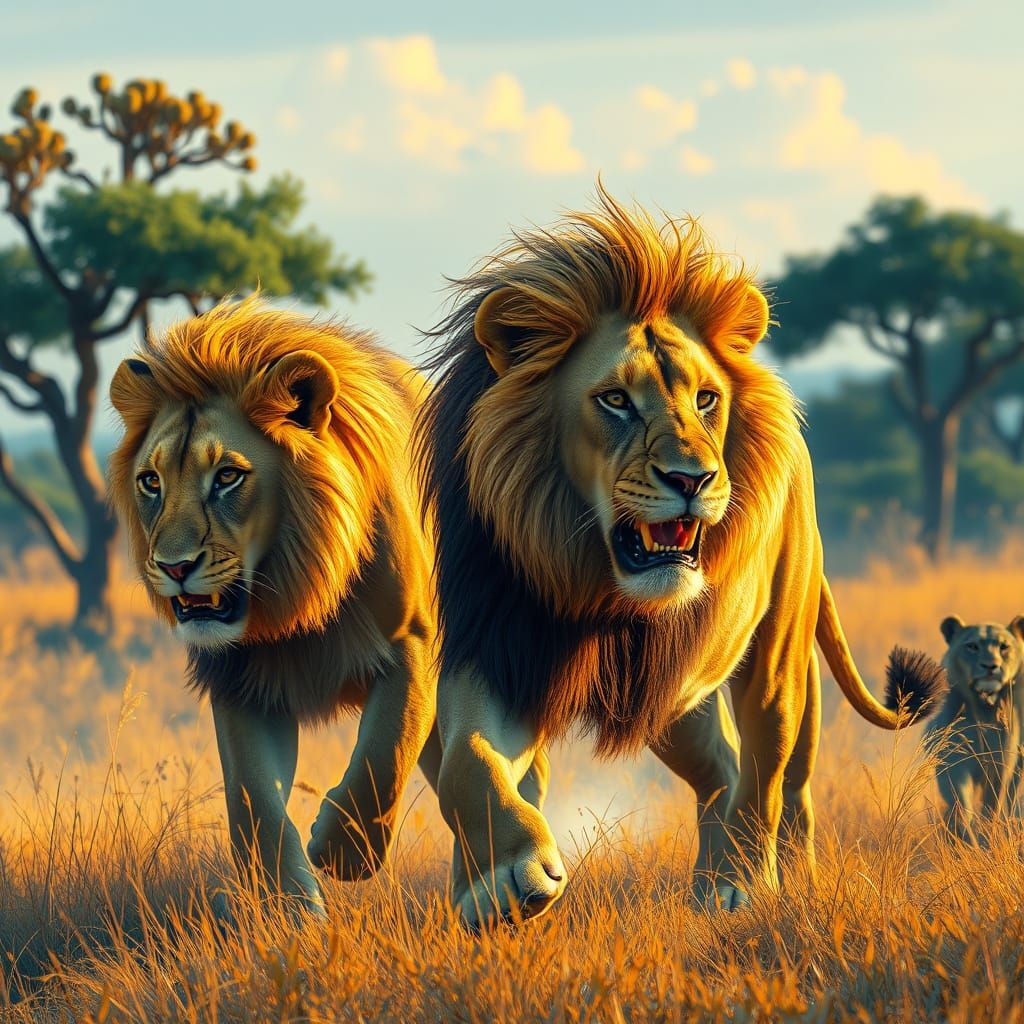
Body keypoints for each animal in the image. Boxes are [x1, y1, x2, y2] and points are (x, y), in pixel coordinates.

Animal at [109, 298, 439, 914]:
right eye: (151, 482)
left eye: (228, 476)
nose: (173, 566)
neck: (295, 593)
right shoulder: (239, 680)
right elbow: (255, 802)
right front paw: (288, 912)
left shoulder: (413, 643)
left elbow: (384, 756)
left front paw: (342, 855)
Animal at [415, 189, 944, 928]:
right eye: (615, 400)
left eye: (705, 398)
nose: (694, 479)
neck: (597, 587)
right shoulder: (500, 646)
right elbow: (466, 761)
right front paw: (500, 881)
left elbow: (767, 768)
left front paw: (749, 887)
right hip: (673, 702)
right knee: (721, 766)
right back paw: (710, 878)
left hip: (775, 641)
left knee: (775, 769)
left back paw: (764, 880)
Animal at [925, 615, 1024, 845]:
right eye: (972, 646)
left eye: (1004, 647)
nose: (990, 666)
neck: (983, 708)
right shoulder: (953, 760)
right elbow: (961, 803)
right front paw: (966, 837)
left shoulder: (1001, 763)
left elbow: (993, 804)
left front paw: (988, 837)